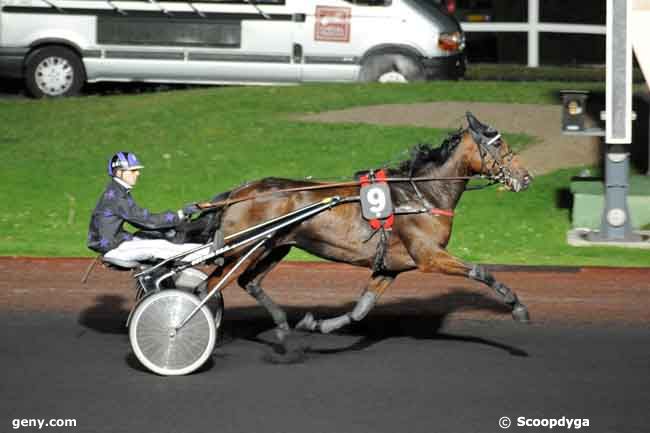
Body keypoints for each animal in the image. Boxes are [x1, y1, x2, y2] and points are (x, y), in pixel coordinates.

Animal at [182, 112, 532, 340]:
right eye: (498, 145)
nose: (526, 177)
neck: (421, 194)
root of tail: (239, 192)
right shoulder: (429, 256)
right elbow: (481, 271)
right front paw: (518, 307)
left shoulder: (389, 266)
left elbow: (361, 309)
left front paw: (317, 325)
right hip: (242, 249)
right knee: (206, 288)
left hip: (272, 247)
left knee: (246, 283)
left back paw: (280, 324)